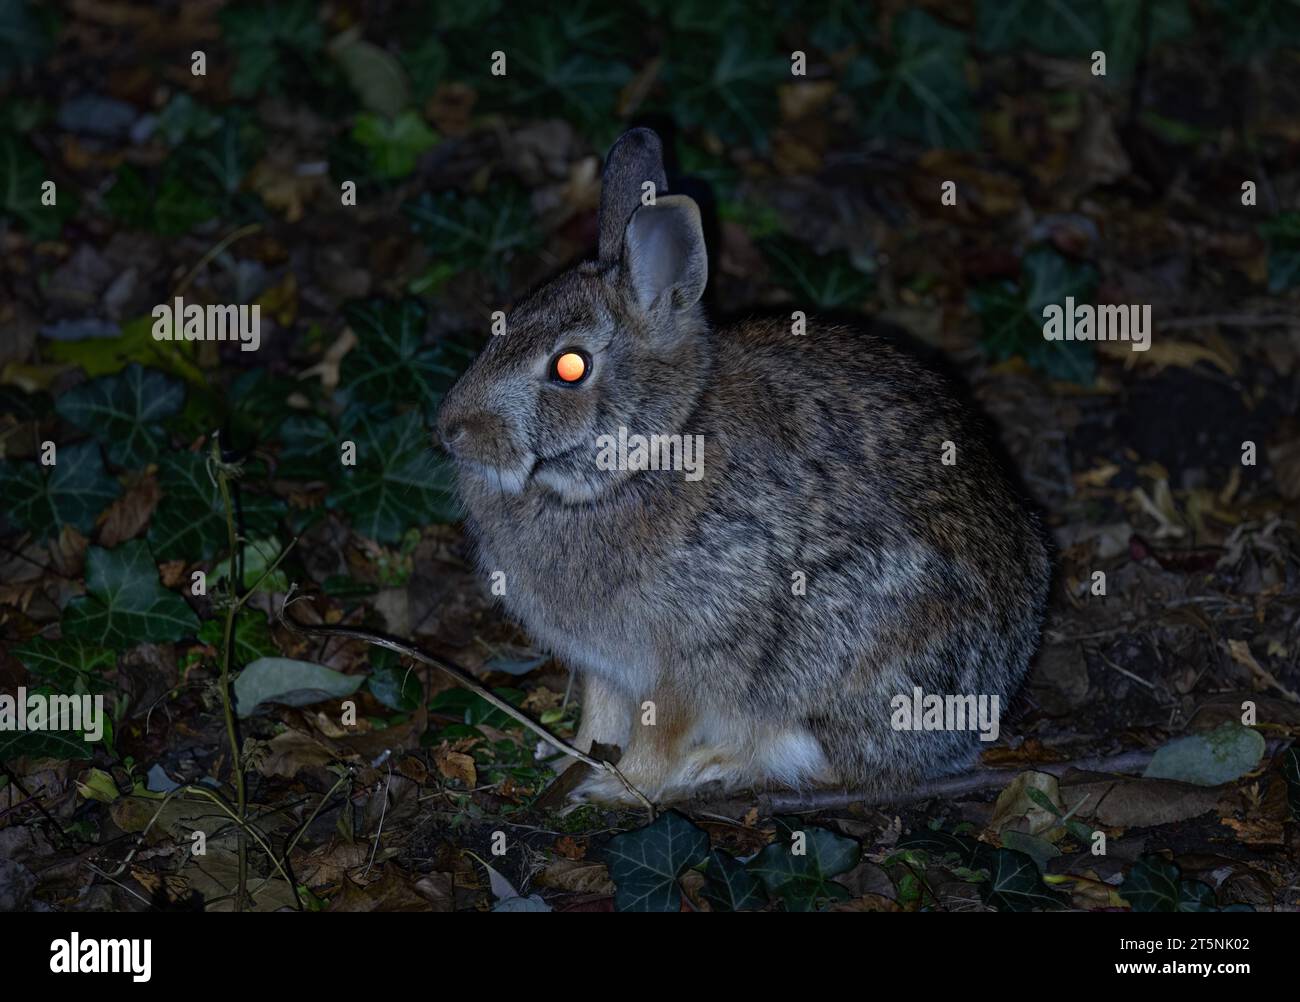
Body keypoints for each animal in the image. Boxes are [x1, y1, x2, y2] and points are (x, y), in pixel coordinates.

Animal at [439, 127, 1055, 805]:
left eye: (570, 367)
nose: (452, 430)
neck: (648, 456)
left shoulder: (693, 651)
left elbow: (662, 730)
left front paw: (619, 789)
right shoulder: (607, 665)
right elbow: (601, 715)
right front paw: (570, 762)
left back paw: (713, 767)